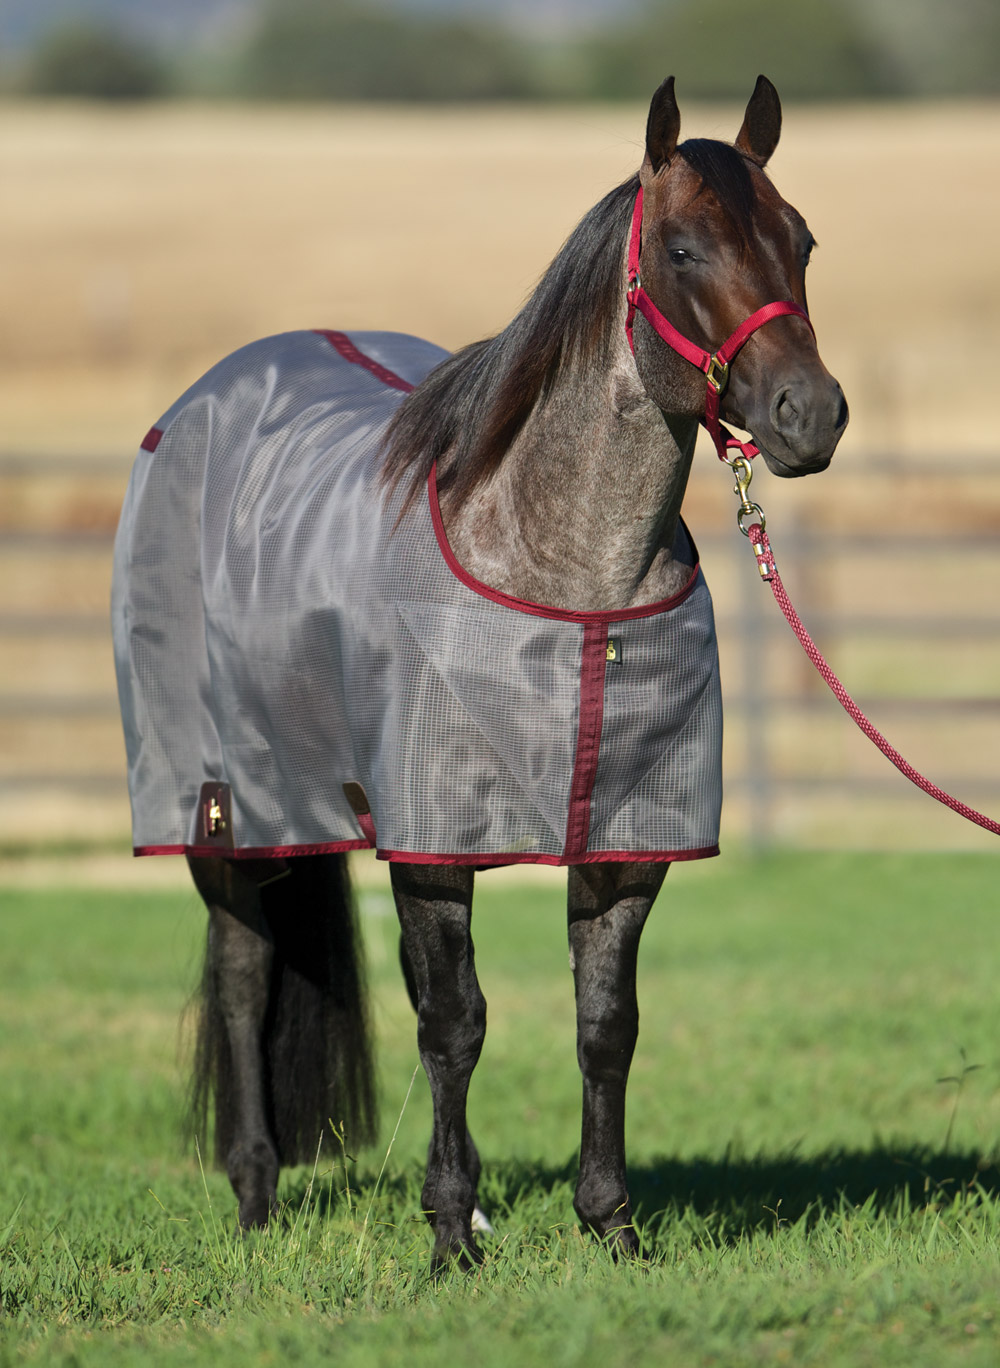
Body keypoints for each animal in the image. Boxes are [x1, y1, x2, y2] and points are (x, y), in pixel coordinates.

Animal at [111, 77, 842, 1269]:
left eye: (803, 240)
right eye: (683, 249)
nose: (810, 415)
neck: (566, 571)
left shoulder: (627, 845)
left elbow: (605, 1027)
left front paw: (610, 1227)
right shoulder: (432, 841)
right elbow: (455, 1025)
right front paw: (452, 1234)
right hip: (221, 808)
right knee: (243, 972)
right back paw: (257, 1199)